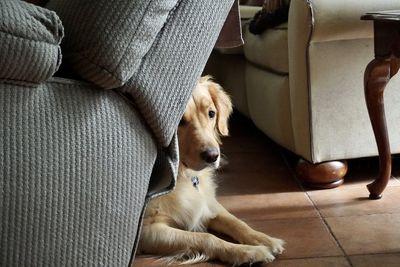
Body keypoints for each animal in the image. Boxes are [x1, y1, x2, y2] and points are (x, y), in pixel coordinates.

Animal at [138, 76, 284, 266]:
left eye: (211, 113)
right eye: (179, 121)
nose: (213, 156)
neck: (183, 175)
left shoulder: (210, 204)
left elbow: (236, 222)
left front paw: (264, 239)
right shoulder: (148, 231)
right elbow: (206, 237)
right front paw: (249, 252)